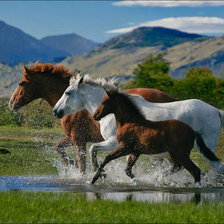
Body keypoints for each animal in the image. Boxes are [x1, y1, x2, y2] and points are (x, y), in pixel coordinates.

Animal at [9, 61, 178, 175]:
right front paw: (70, 163)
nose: (11, 103)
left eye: (21, 83)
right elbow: (59, 147)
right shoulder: (73, 137)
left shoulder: (78, 138)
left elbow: (82, 164)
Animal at [53, 75, 224, 173]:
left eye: (68, 92)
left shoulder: (115, 142)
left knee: (217, 168)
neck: (115, 112)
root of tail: (216, 110)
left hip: (204, 148)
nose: (56, 111)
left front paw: (99, 172)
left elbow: (92, 148)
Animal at [91, 88, 220, 185]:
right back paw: (161, 178)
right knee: (180, 167)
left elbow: (106, 158)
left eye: (104, 102)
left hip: (181, 154)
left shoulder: (123, 147)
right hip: (176, 154)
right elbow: (127, 170)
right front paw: (137, 180)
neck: (131, 121)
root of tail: (193, 131)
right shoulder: (135, 151)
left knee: (196, 169)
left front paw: (95, 177)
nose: (95, 116)